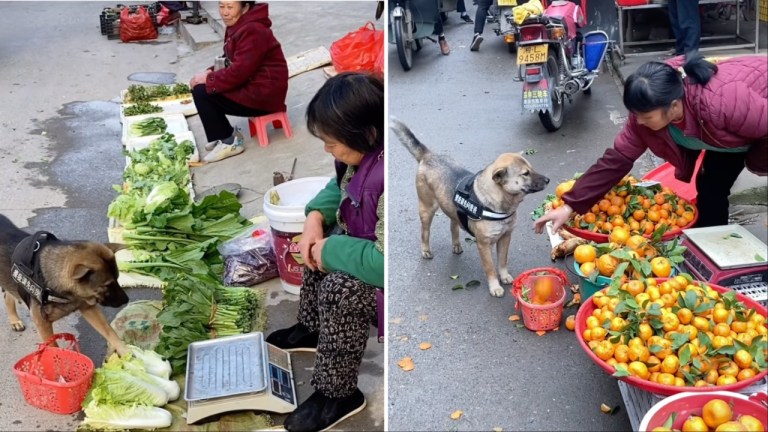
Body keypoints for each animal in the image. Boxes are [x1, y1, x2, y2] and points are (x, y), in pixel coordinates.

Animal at [0, 214, 130, 356]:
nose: (126, 300)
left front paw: (126, 353)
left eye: (117, 279)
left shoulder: (89, 309)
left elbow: (110, 332)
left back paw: (14, 320)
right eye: (106, 285)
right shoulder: (43, 324)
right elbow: (53, 345)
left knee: (8, 295)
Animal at [392, 120, 548, 298]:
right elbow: (490, 268)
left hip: (452, 209)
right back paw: (425, 250)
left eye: (532, 169)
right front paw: (495, 286)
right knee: (425, 232)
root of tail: (428, 155)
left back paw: (456, 245)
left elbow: (502, 262)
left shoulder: (505, 237)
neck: (500, 200)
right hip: (427, 210)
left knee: (453, 226)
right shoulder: (484, 244)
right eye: (525, 173)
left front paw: (504, 276)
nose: (548, 180)